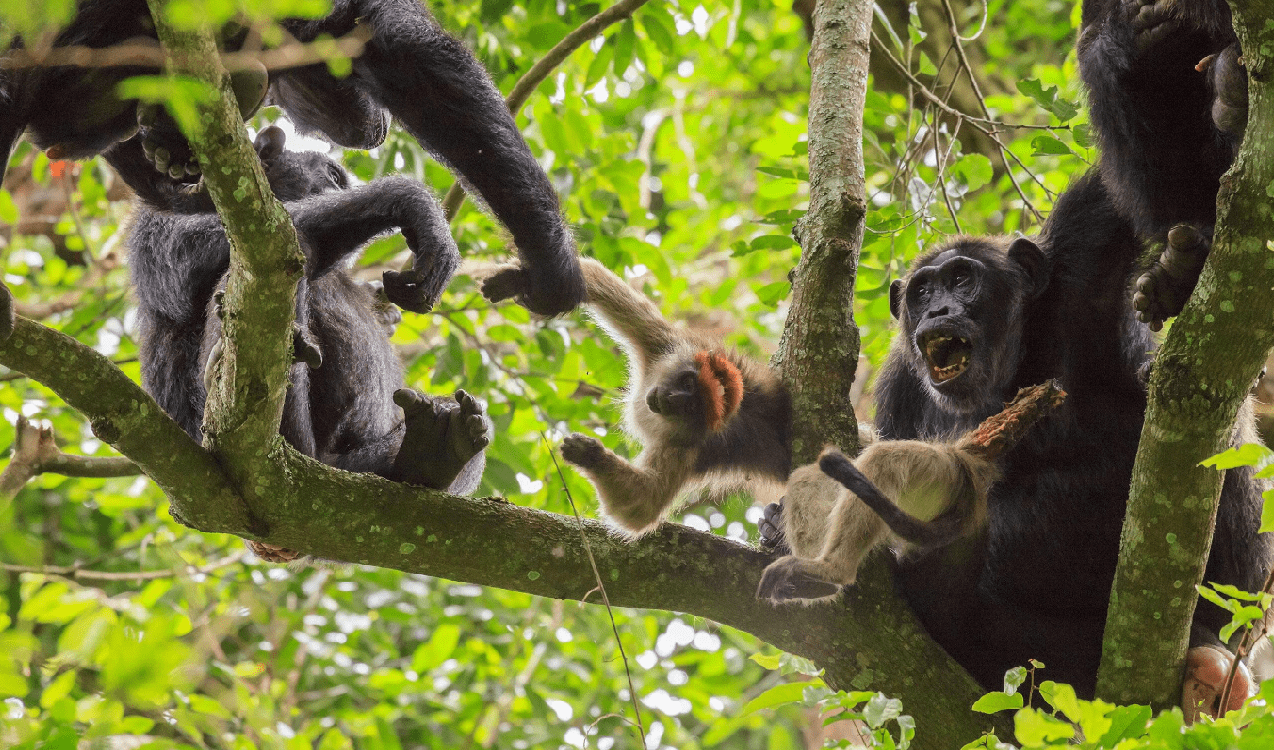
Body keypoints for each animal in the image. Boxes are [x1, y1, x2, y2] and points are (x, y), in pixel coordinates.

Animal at [125, 126, 491, 555]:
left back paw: (435, 450)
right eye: (332, 175)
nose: (338, 189)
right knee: (286, 251)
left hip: (355, 467)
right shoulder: (157, 216)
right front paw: (409, 202)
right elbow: (193, 250)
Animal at [759, 173, 1268, 718]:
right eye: (923, 290)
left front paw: (1177, 275)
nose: (938, 308)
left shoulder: (1085, 250)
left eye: (963, 279)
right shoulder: (899, 387)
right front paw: (779, 525)